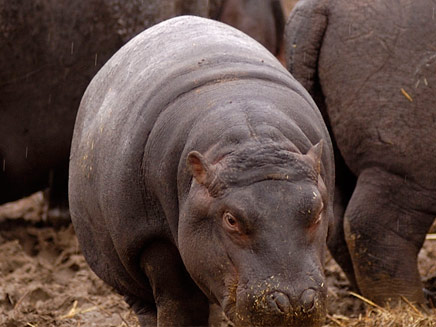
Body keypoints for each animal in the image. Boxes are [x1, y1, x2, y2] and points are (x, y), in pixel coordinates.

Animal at [69, 16, 334, 327]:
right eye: (231, 219)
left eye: (317, 210)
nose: (292, 302)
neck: (252, 140)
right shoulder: (154, 240)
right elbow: (180, 302)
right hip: (122, 266)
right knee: (148, 306)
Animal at [286, 0, 436, 308]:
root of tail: (319, 6)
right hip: (405, 171)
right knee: (373, 227)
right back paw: (411, 304)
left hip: (334, 162)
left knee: (337, 225)